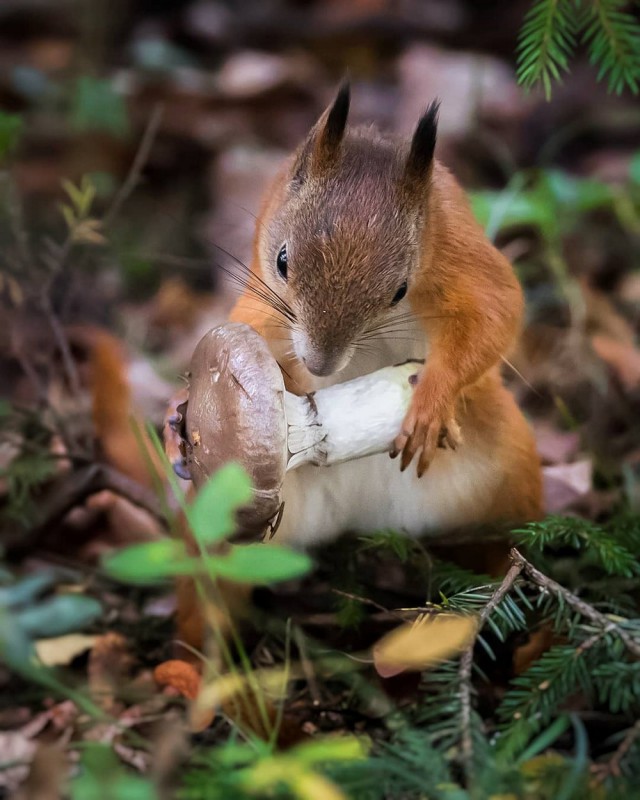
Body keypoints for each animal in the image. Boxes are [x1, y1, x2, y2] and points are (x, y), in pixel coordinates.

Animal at [168, 83, 544, 648]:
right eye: (282, 261)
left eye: (400, 290)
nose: (319, 363)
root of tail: (362, 518)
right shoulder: (260, 297)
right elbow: (255, 329)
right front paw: (180, 412)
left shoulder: (458, 255)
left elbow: (497, 312)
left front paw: (432, 397)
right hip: (219, 521)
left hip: (510, 477)